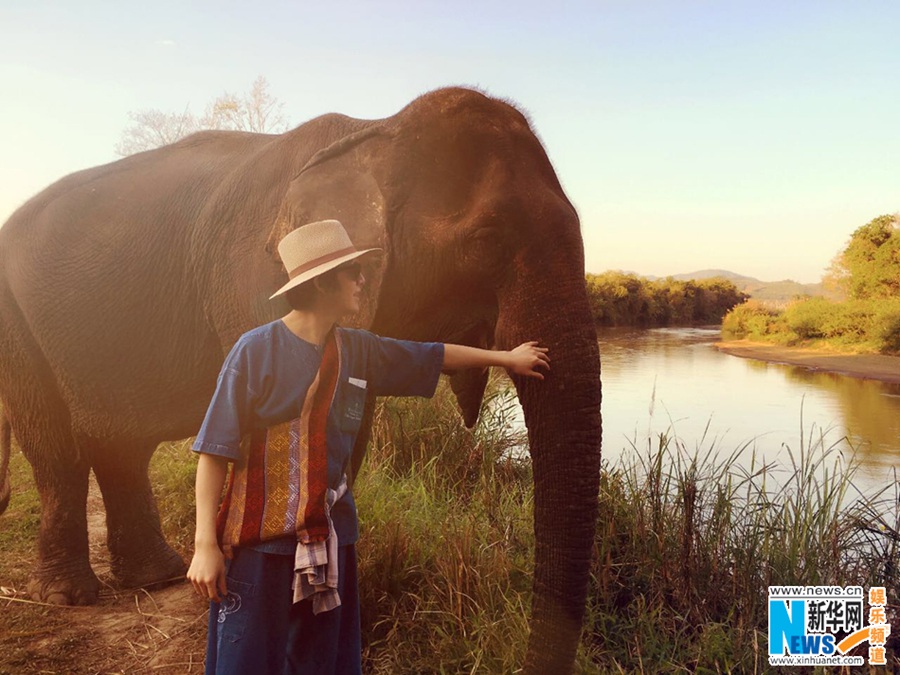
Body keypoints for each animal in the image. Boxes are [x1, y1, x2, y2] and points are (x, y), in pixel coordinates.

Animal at [1, 88, 604, 672]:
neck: (377, 132)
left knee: (119, 448)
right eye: (486, 238)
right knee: (58, 452)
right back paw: (67, 596)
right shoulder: (256, 281)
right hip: (16, 329)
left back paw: (155, 577)